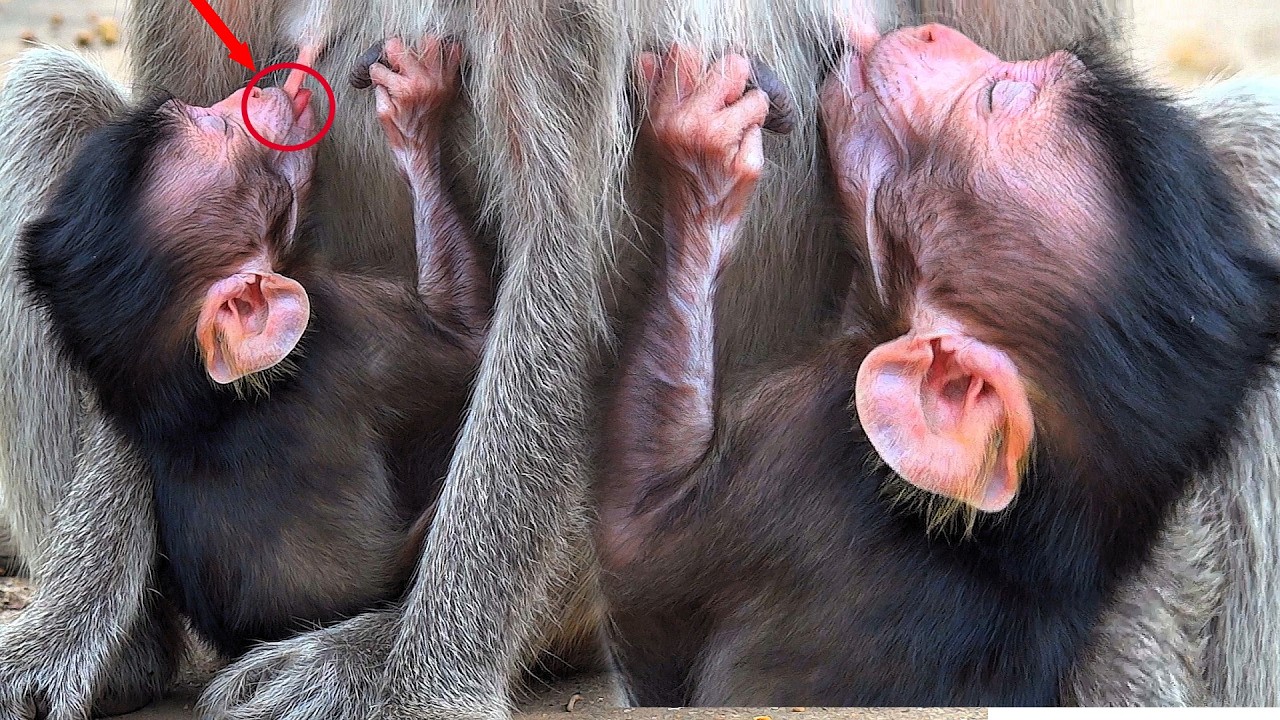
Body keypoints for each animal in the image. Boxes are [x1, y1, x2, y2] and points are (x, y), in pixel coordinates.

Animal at [5, 1, 1280, 717]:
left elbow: (565, 239)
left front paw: (416, 691)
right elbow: (190, 108)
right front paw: (66, 638)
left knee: (1241, 162)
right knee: (45, 99)